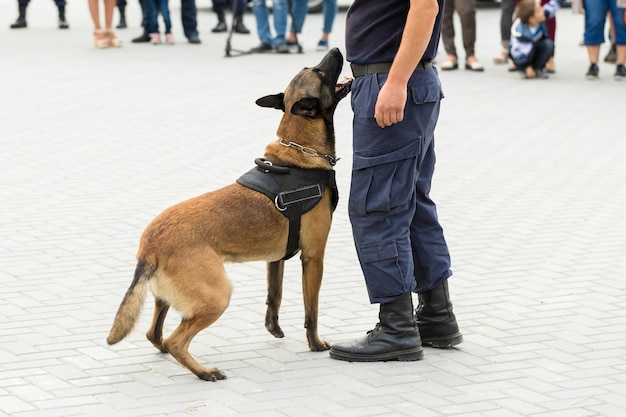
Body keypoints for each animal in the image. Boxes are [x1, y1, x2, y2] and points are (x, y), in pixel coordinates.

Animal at [106, 48, 352, 380]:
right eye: (321, 72)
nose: (337, 50)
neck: (299, 152)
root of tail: (149, 244)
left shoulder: (275, 259)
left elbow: (274, 295)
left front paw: (273, 328)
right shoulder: (313, 257)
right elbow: (310, 310)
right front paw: (315, 343)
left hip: (168, 298)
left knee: (154, 334)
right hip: (218, 295)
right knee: (174, 340)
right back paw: (203, 371)